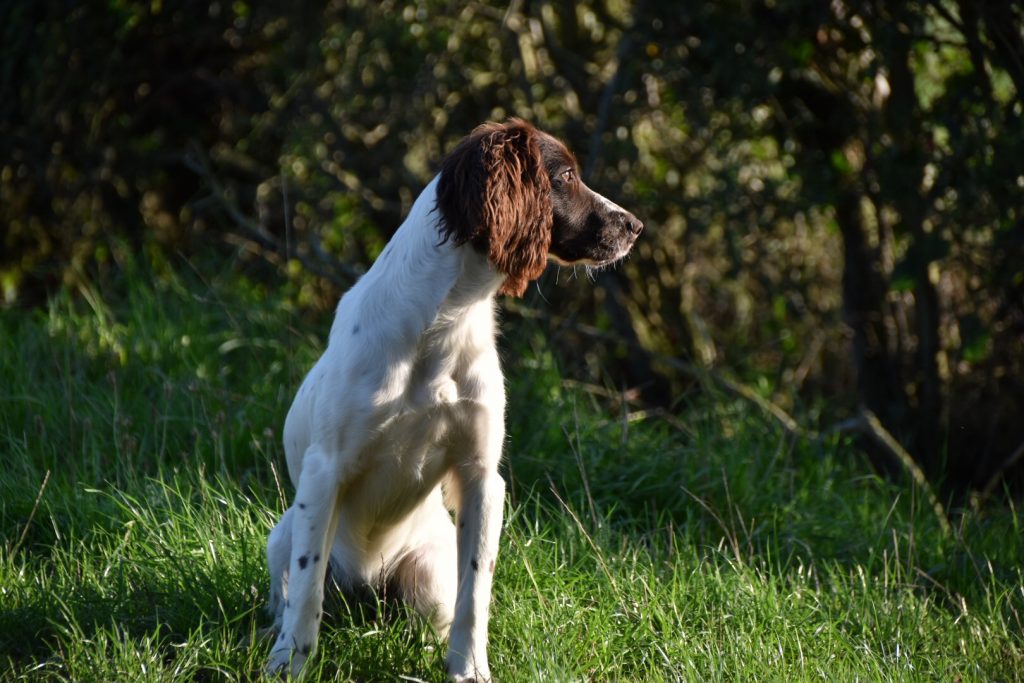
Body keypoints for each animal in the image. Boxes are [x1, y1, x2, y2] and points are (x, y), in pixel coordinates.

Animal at [268, 117, 643, 679]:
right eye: (566, 175)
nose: (635, 226)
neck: (444, 321)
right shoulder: (324, 469)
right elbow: (306, 589)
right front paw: (288, 664)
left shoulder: (482, 476)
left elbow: (476, 592)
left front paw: (470, 670)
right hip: (284, 534)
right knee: (292, 589)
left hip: (427, 568)